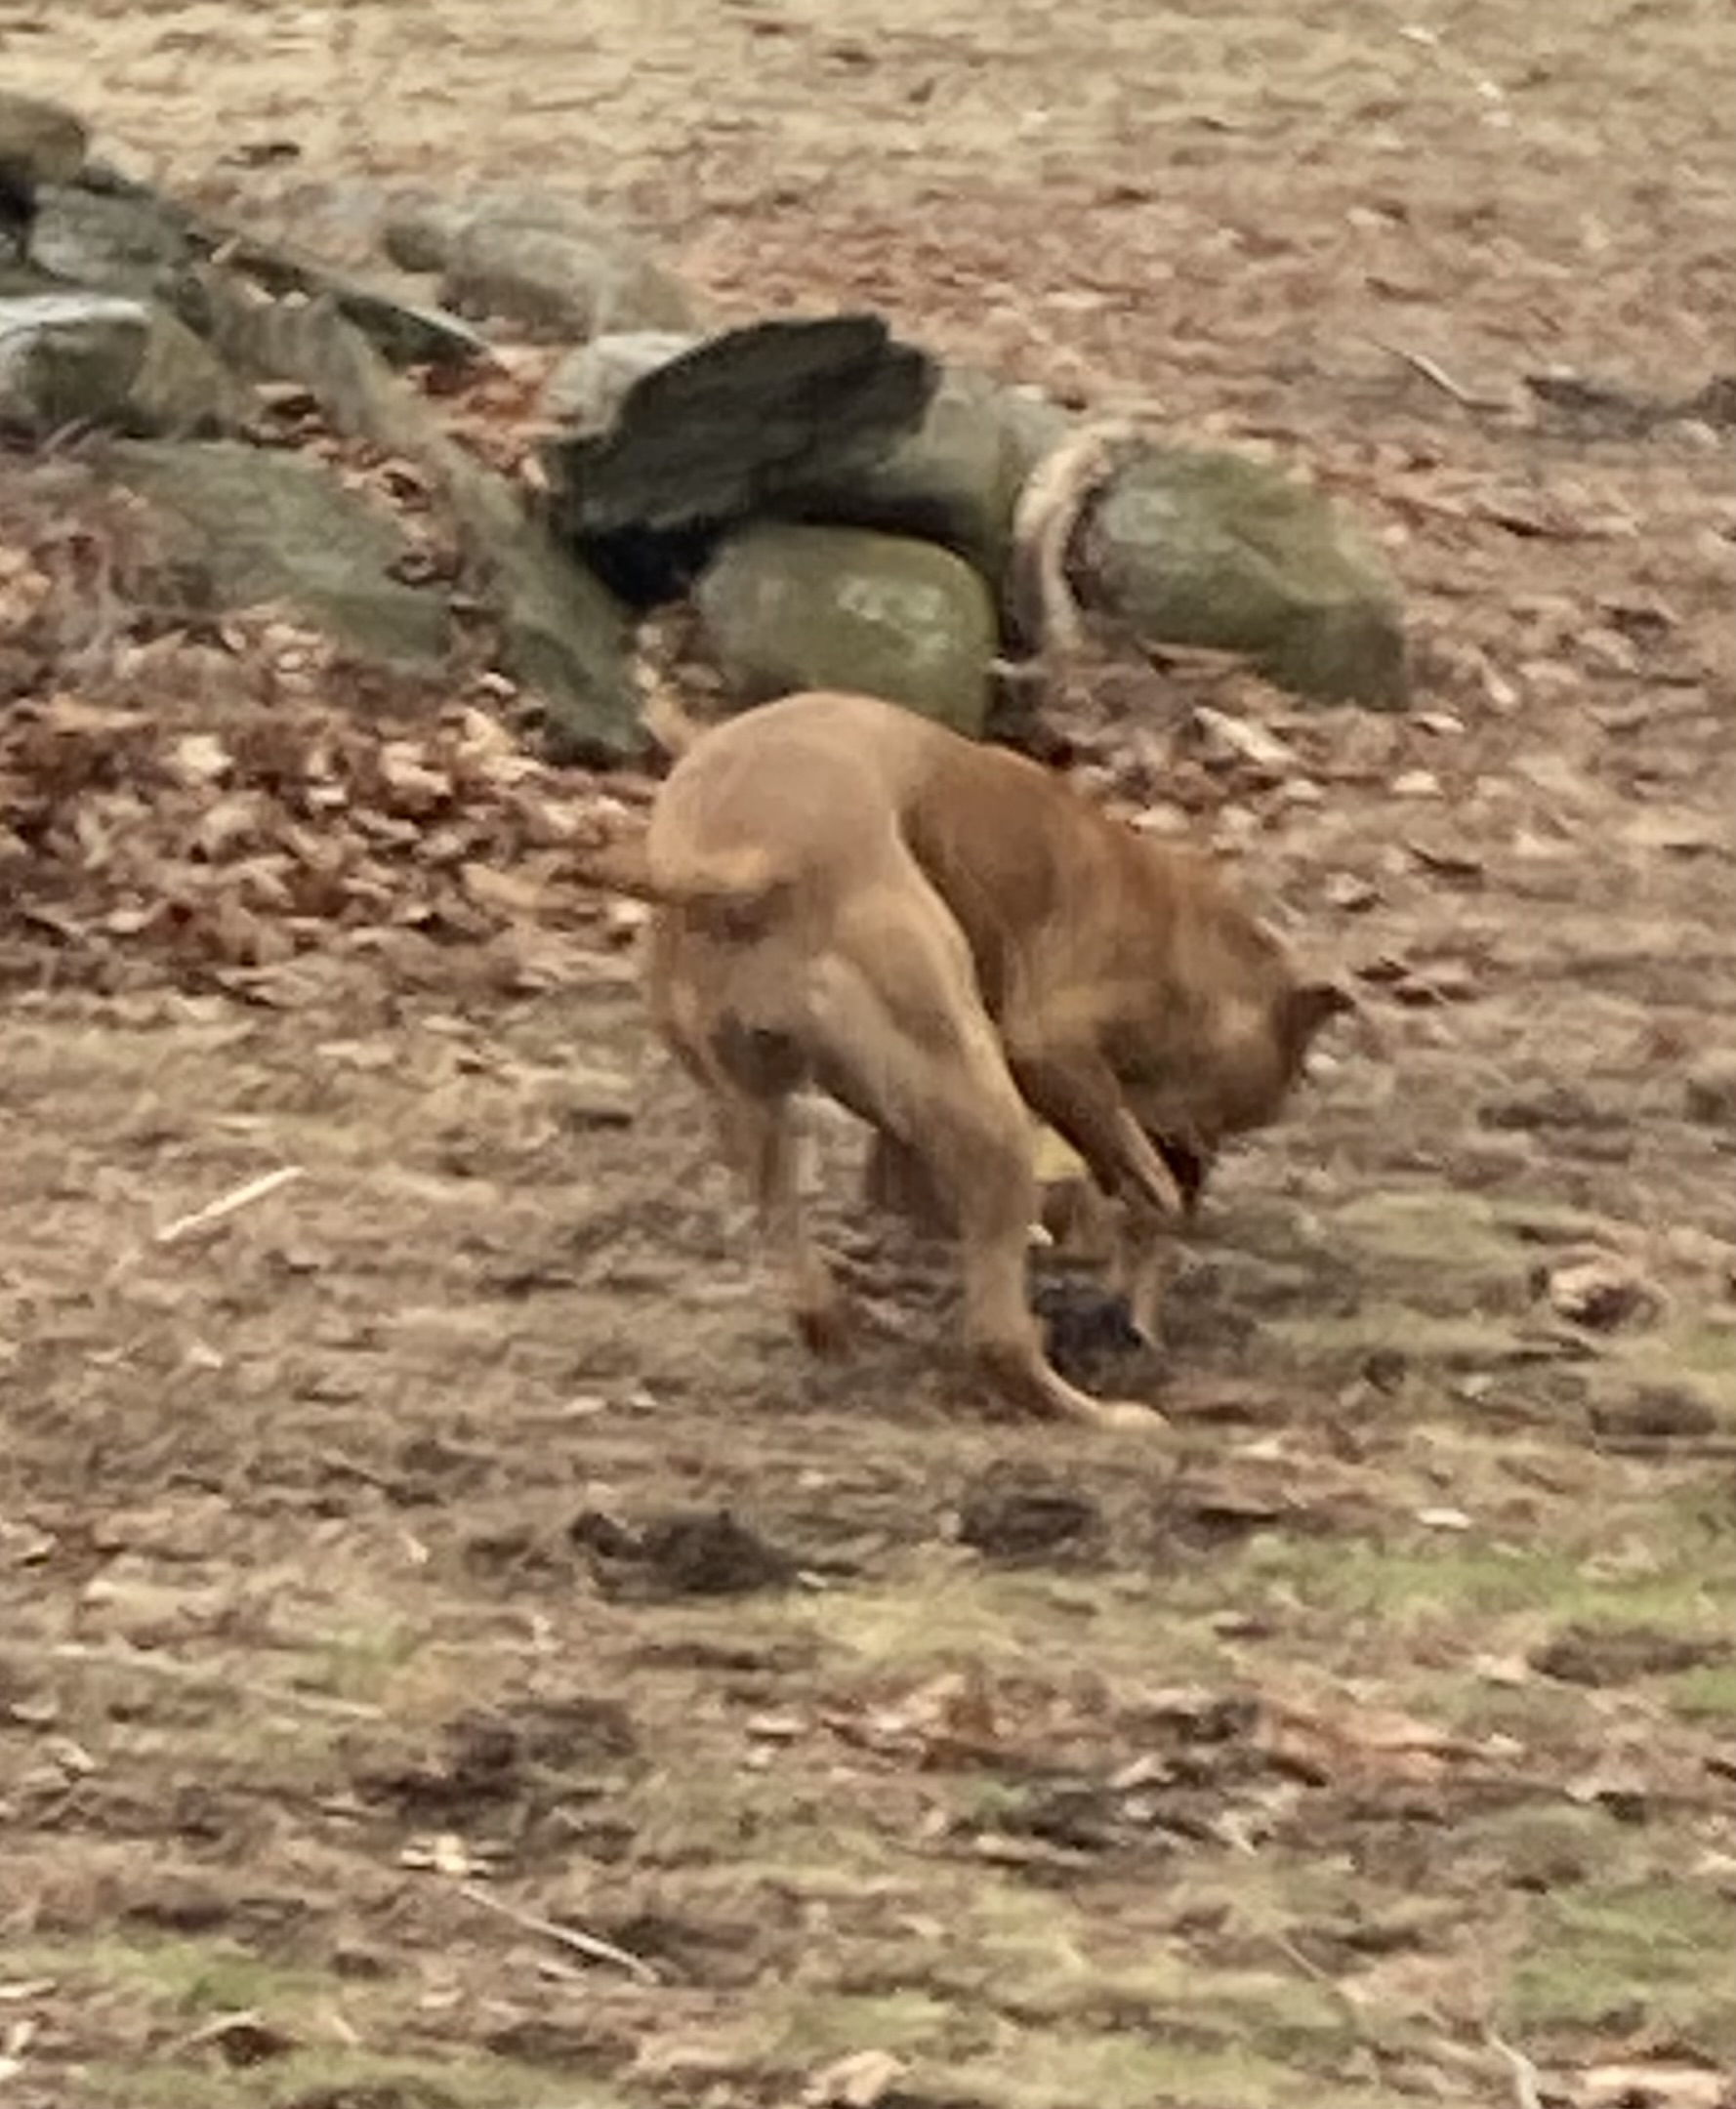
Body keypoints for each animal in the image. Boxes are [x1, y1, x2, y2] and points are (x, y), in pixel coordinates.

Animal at [599, 689, 1351, 1429]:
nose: (1199, 1177)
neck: (1191, 942)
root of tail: (753, 867)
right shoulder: (1052, 1048)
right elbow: (1137, 1187)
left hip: (758, 1111)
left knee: (799, 1261)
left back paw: (848, 1330)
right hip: (990, 1116)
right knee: (997, 1342)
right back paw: (1101, 1413)